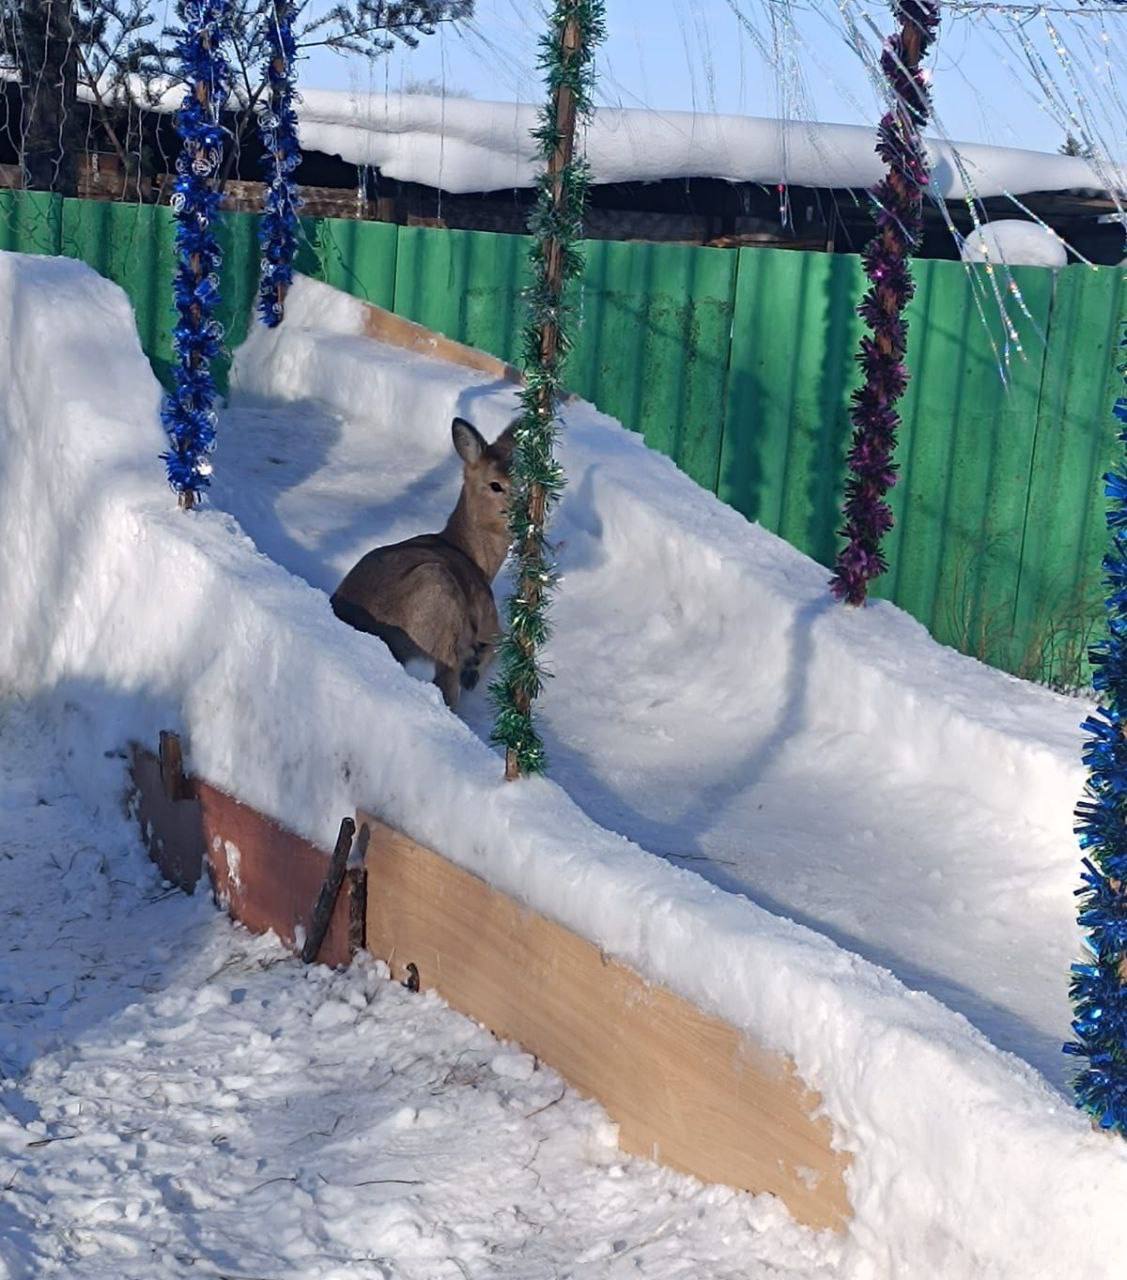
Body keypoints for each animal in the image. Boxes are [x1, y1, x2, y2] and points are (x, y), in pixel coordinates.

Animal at [330, 417, 514, 711]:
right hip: (438, 595)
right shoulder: (488, 619)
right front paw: (474, 667)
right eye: (496, 485)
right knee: (448, 687)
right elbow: (499, 642)